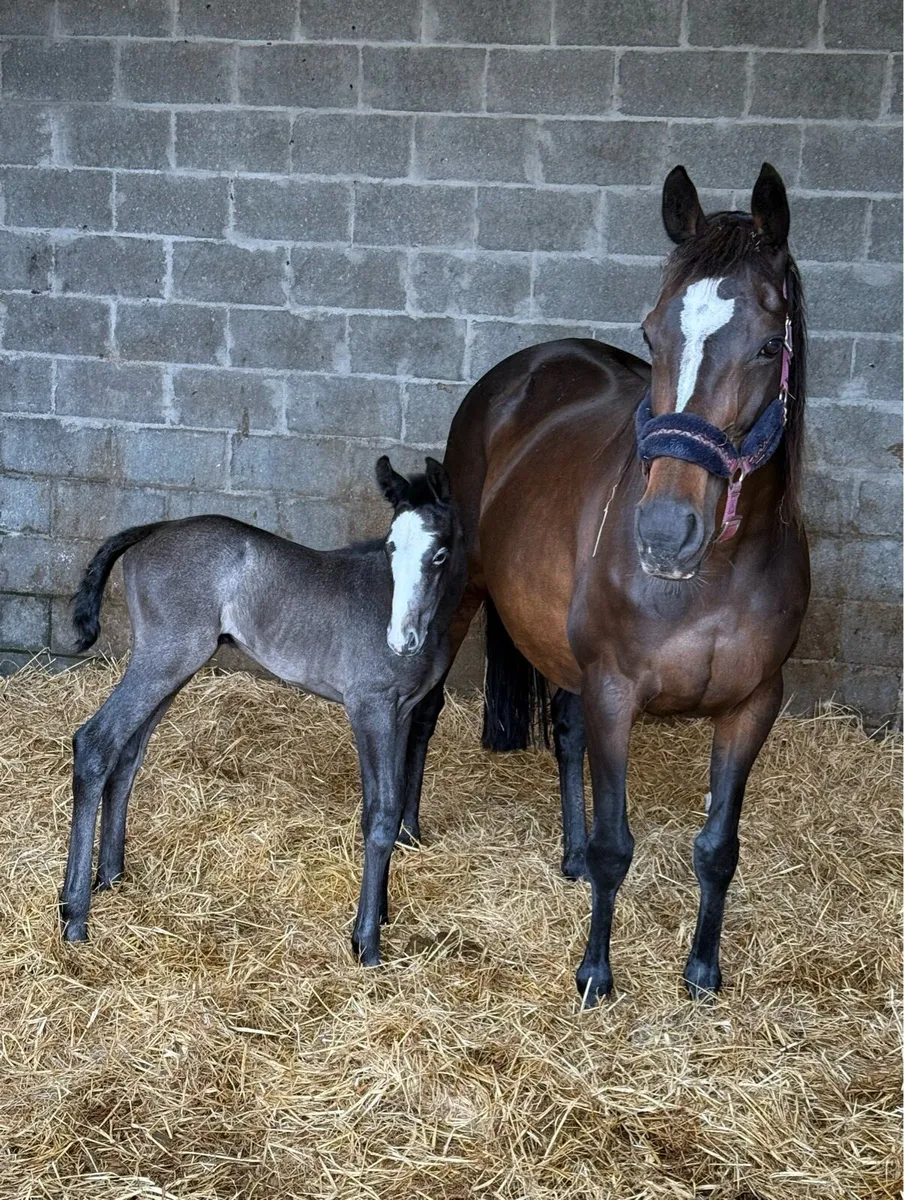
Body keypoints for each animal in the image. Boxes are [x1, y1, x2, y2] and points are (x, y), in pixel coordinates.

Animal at [59, 456, 467, 968]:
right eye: (392, 545)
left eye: (440, 554)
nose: (400, 639)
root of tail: (157, 527)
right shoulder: (370, 708)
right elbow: (379, 815)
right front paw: (367, 943)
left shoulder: (403, 714)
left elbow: (391, 816)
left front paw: (381, 913)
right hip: (168, 656)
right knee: (96, 743)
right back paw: (74, 915)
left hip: (172, 665)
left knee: (127, 755)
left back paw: (111, 877)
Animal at [400, 162, 811, 1003]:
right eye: (652, 334)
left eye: (766, 346)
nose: (664, 532)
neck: (716, 573)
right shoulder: (617, 688)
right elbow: (619, 844)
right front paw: (595, 973)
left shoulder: (754, 703)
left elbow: (718, 847)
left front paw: (702, 972)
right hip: (461, 594)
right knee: (424, 712)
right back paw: (405, 831)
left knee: (565, 733)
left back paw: (569, 855)